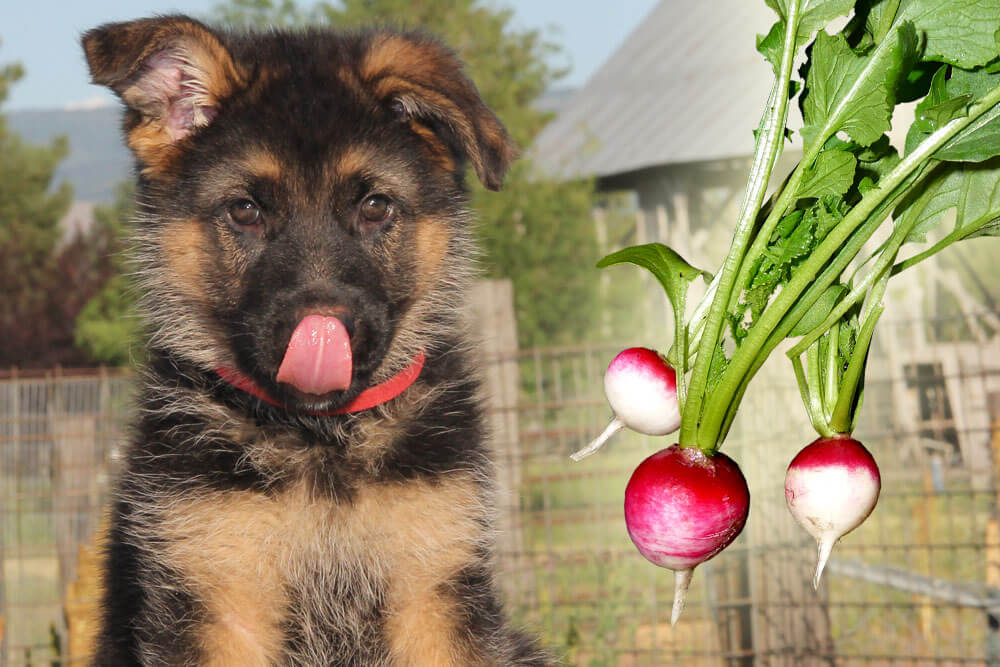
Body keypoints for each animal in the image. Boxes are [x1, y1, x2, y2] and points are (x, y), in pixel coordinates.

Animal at [83, 15, 552, 667]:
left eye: (375, 206)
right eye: (245, 210)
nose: (323, 333)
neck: (322, 443)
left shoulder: (434, 594)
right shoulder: (217, 601)